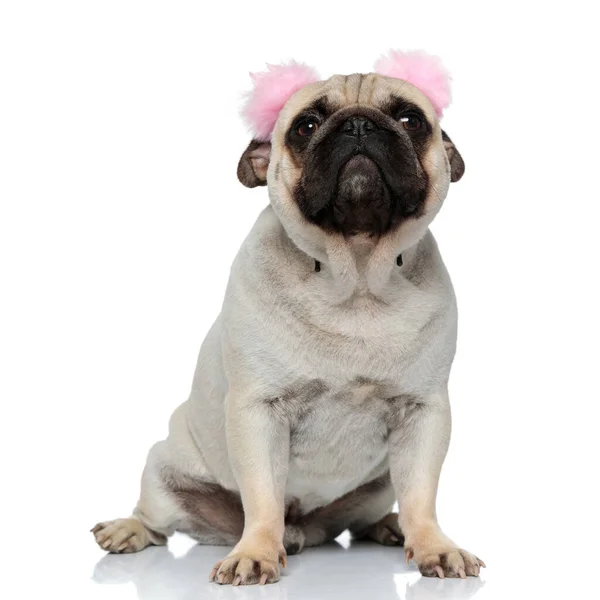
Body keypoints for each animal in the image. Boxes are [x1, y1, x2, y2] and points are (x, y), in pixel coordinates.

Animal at [94, 52, 488, 584]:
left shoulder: (423, 413)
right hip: (162, 473)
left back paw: (389, 527)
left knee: (377, 511)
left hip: (379, 485)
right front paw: (256, 552)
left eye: (410, 120)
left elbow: (422, 495)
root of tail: (307, 531)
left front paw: (434, 546)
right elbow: (263, 495)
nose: (359, 124)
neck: (356, 276)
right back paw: (128, 530)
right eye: (306, 126)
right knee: (155, 521)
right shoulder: (258, 412)